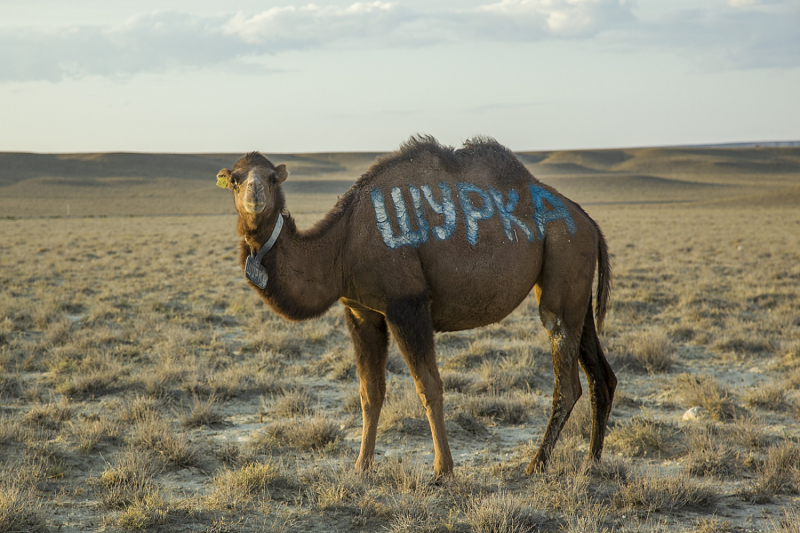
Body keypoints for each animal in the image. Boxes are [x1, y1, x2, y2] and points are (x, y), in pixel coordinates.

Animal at [216, 135, 616, 476]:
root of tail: (589, 221)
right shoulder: (361, 312)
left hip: (564, 261)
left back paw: (537, 464)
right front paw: (361, 467)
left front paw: (443, 470)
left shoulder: (406, 304)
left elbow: (429, 386)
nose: (254, 192)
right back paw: (592, 462)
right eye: (235, 179)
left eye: (271, 177)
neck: (340, 247)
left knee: (567, 379)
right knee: (601, 375)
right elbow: (370, 393)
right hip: (575, 290)